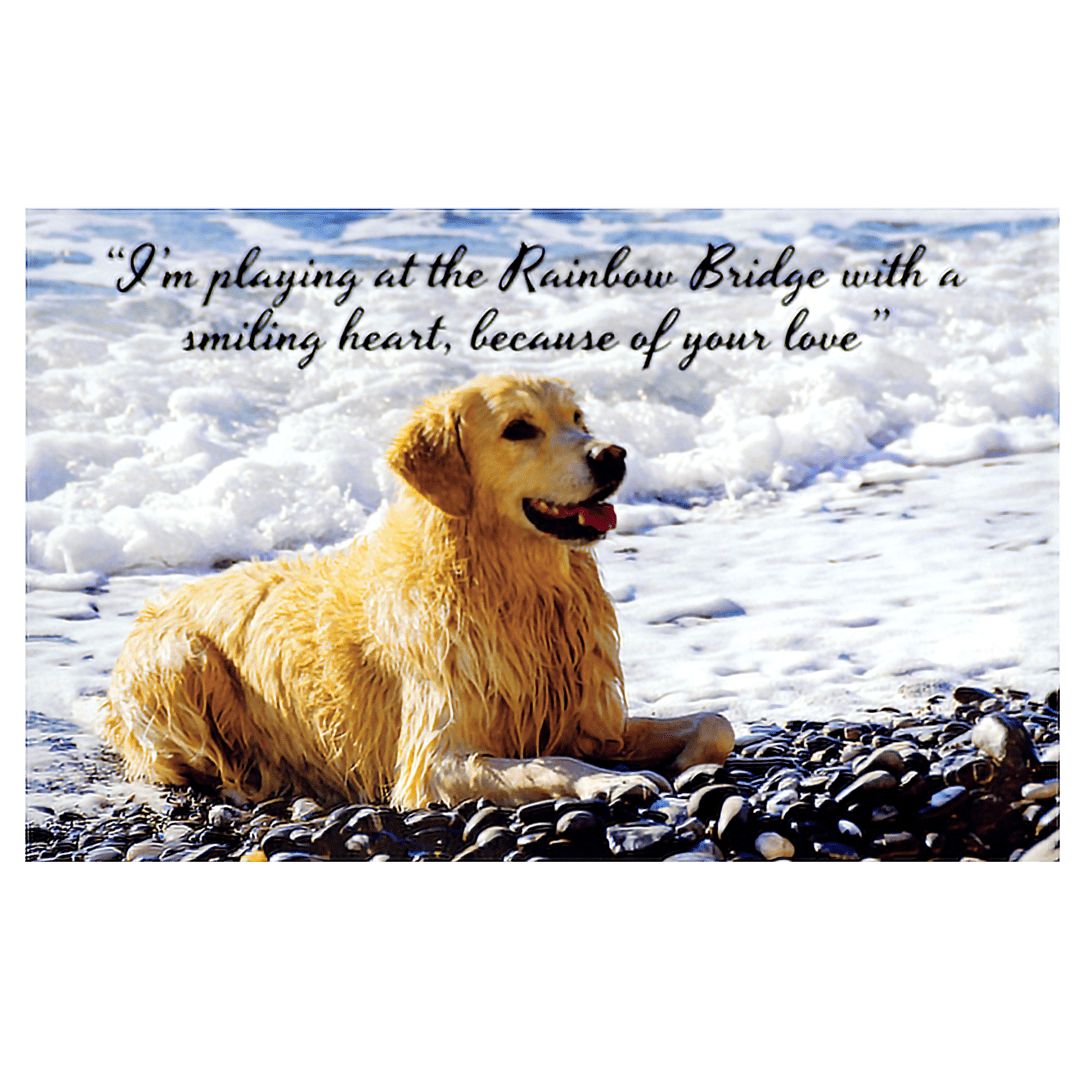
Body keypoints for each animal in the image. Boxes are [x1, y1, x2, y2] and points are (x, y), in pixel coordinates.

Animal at [101, 375, 734, 807]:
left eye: (578, 417)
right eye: (519, 428)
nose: (612, 455)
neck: (515, 586)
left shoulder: (588, 718)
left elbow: (716, 723)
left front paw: (688, 766)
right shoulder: (432, 760)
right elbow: (550, 763)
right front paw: (615, 782)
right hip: (180, 659)